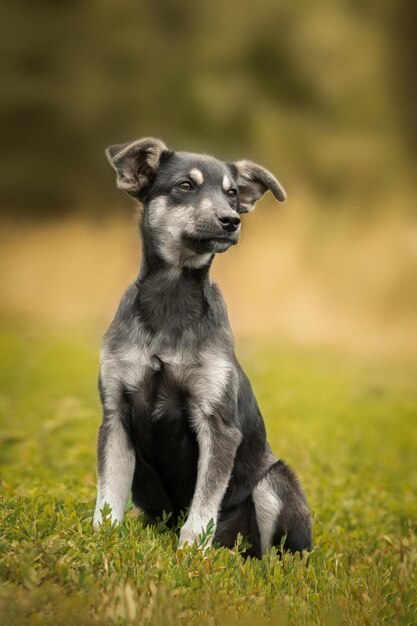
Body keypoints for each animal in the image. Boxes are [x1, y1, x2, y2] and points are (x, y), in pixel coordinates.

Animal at [92, 138, 310, 556]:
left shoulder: (217, 425)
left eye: (232, 193)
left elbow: (203, 505)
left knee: (275, 552)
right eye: (184, 186)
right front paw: (102, 539)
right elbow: (108, 494)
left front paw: (190, 553)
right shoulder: (116, 416)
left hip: (274, 483)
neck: (172, 298)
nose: (231, 220)